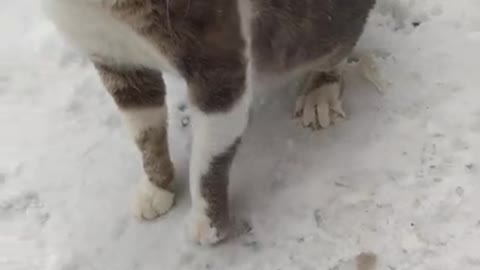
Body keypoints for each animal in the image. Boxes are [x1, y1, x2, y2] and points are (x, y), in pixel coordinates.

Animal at [43, 0, 376, 245]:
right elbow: (145, 133)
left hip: (319, 29)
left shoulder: (218, 62)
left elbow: (207, 160)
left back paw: (320, 92)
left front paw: (208, 222)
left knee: (334, 46)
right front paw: (156, 186)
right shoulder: (115, 59)